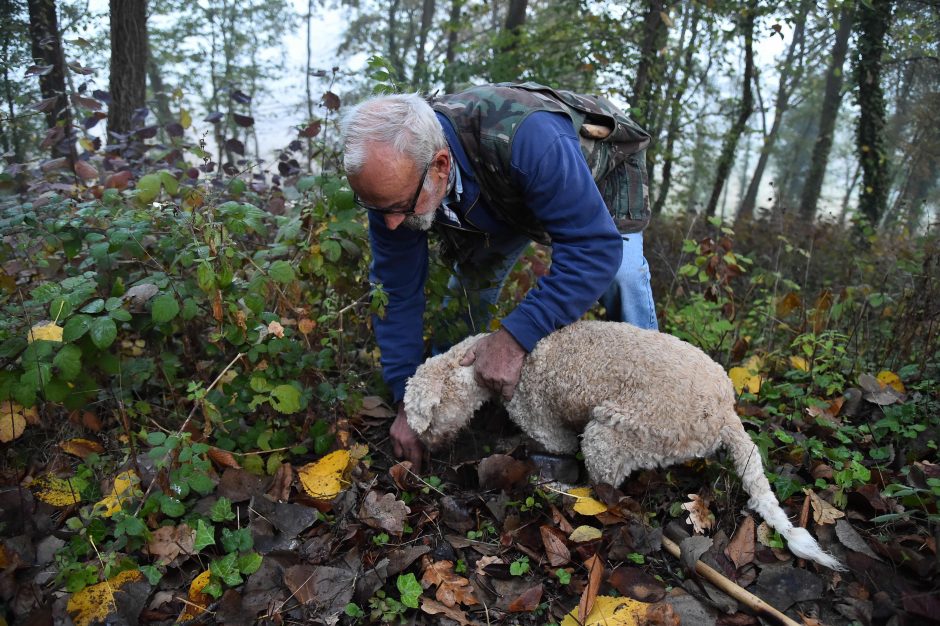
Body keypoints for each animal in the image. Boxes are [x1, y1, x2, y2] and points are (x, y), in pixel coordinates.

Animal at [404, 320, 844, 568]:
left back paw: (562, 490)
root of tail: (724, 413)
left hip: (614, 433)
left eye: (425, 418)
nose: (430, 449)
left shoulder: (545, 422)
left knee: (603, 491)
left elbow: (554, 442)